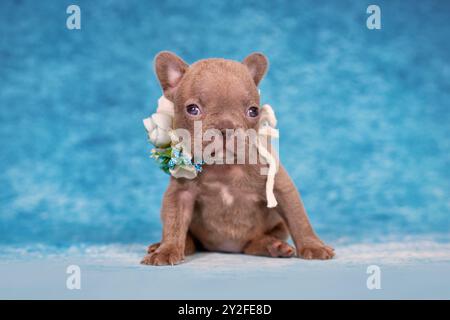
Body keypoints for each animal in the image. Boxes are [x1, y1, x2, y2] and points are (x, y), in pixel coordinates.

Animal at [141, 52, 334, 264]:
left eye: (253, 111)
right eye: (192, 109)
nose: (226, 128)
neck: (224, 167)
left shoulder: (281, 187)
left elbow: (298, 219)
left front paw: (313, 246)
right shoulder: (180, 194)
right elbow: (173, 223)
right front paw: (166, 250)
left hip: (275, 228)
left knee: (253, 244)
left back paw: (274, 247)